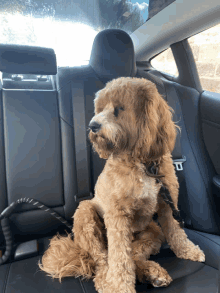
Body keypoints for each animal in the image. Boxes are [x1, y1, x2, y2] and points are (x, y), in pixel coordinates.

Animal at [38, 76, 205, 290]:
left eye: (120, 108)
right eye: (100, 108)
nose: (92, 125)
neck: (143, 164)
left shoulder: (167, 203)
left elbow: (176, 231)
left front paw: (188, 250)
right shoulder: (117, 216)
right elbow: (119, 259)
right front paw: (120, 287)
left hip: (152, 233)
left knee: (134, 256)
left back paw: (152, 272)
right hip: (85, 214)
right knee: (102, 259)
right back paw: (106, 280)